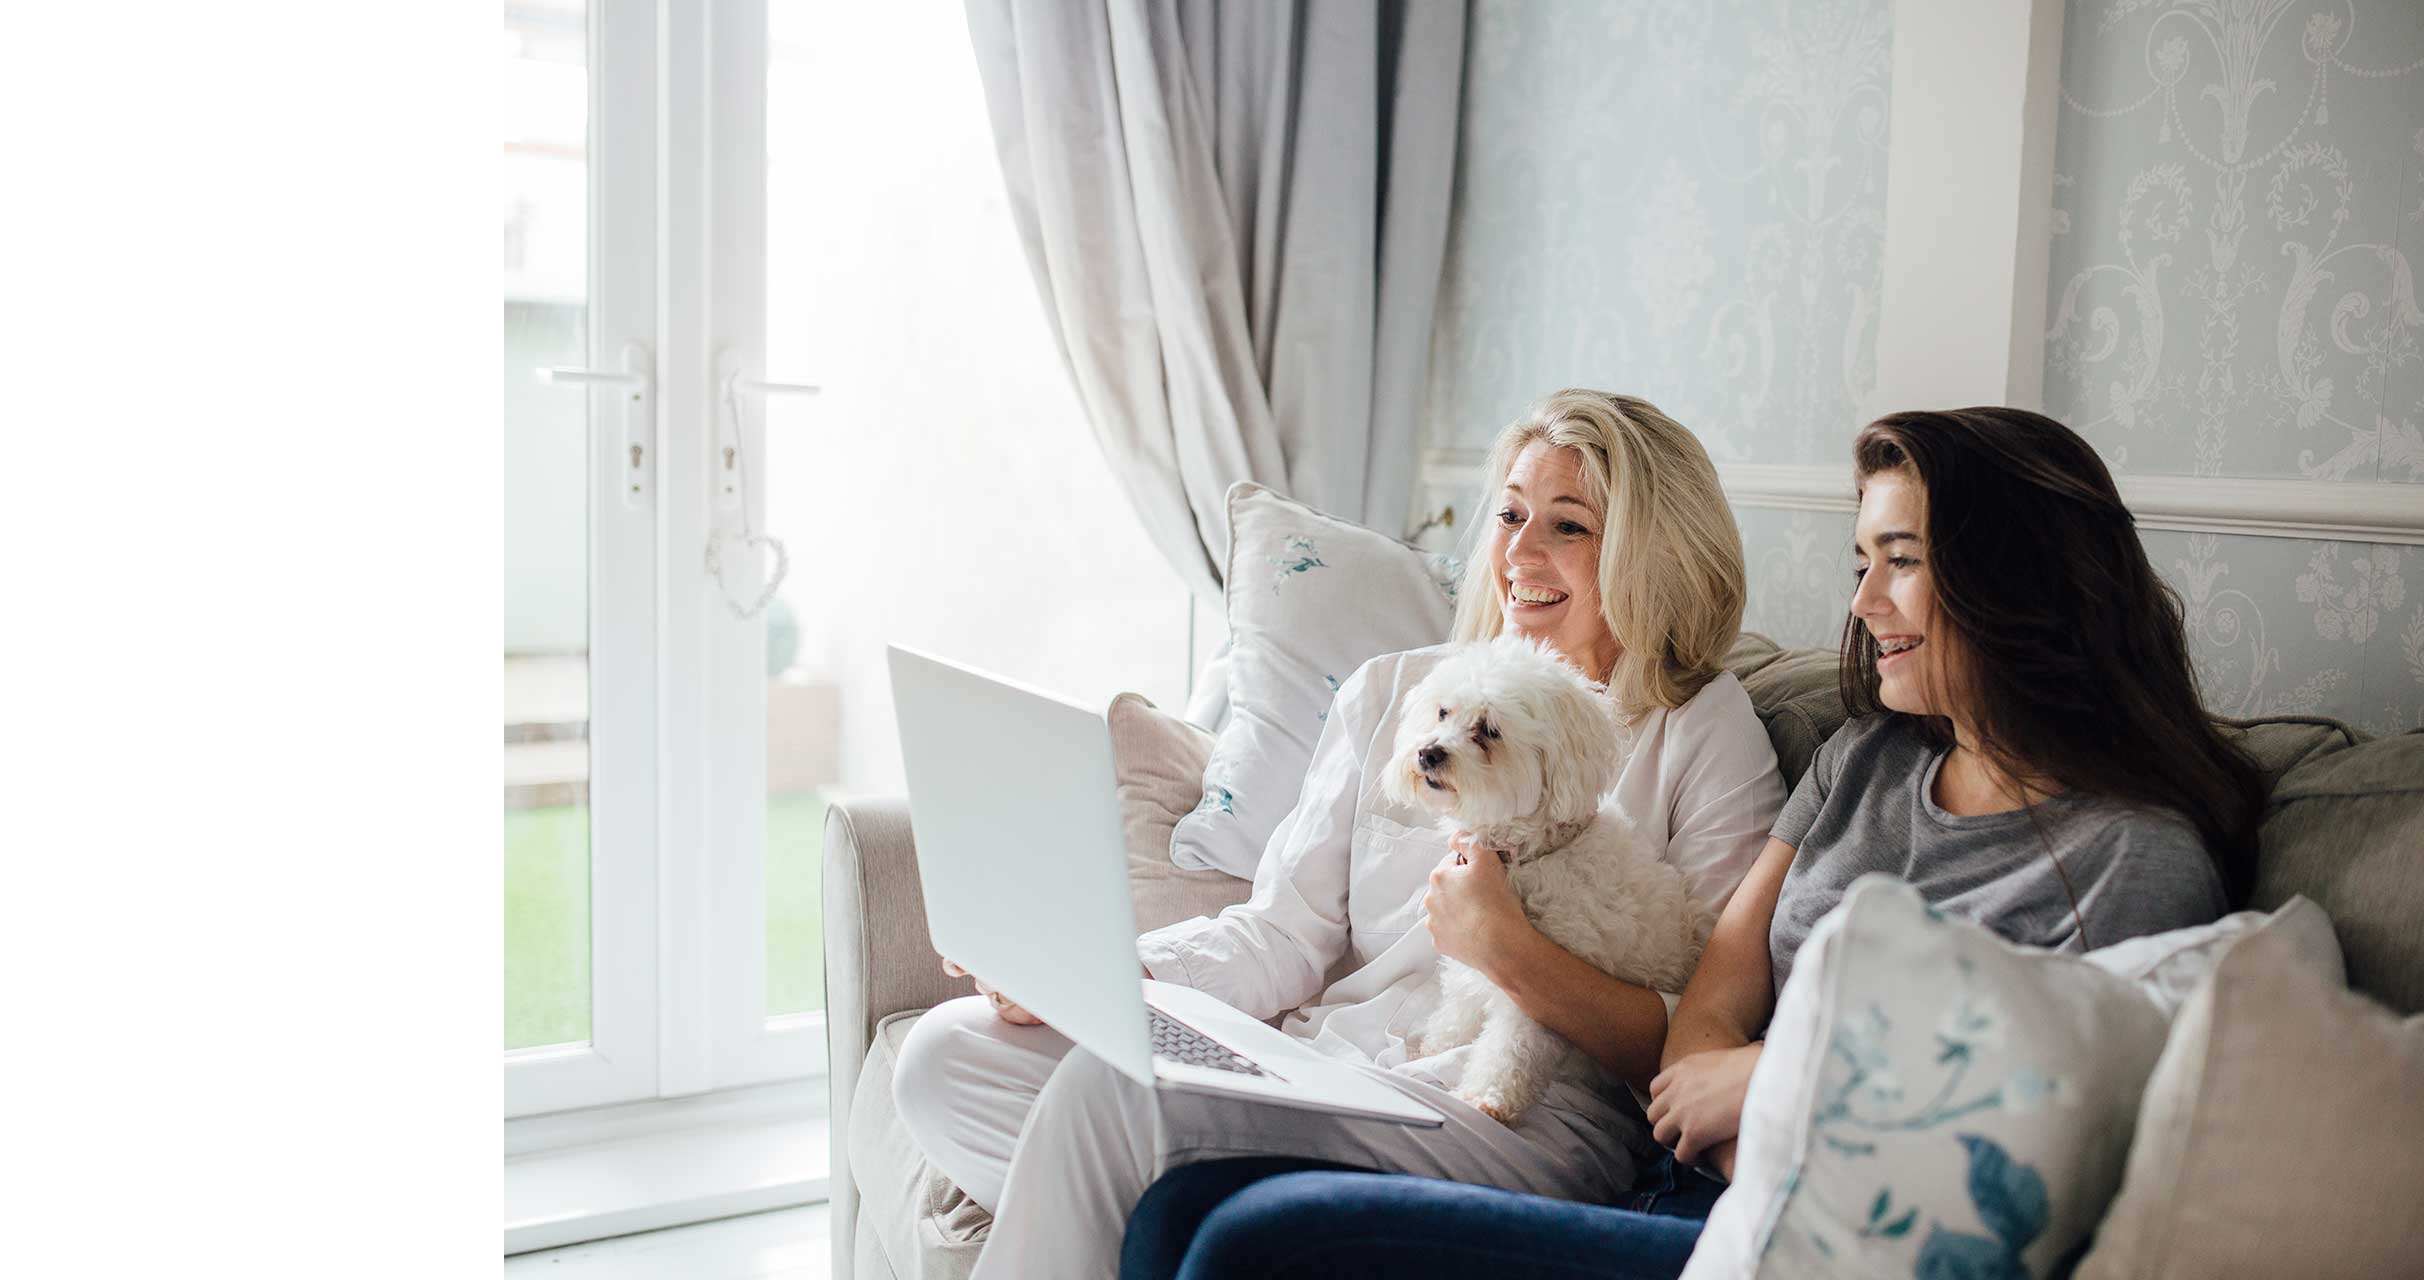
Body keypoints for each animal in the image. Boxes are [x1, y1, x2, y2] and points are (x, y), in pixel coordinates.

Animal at [1396, 635, 1716, 1124]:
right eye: (1443, 712)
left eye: (1489, 731)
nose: (1428, 753)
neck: (1525, 857)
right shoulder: (1475, 965)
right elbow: (1459, 1006)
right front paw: (1438, 1044)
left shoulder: (1537, 983)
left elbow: (1512, 1047)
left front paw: (1487, 1097)